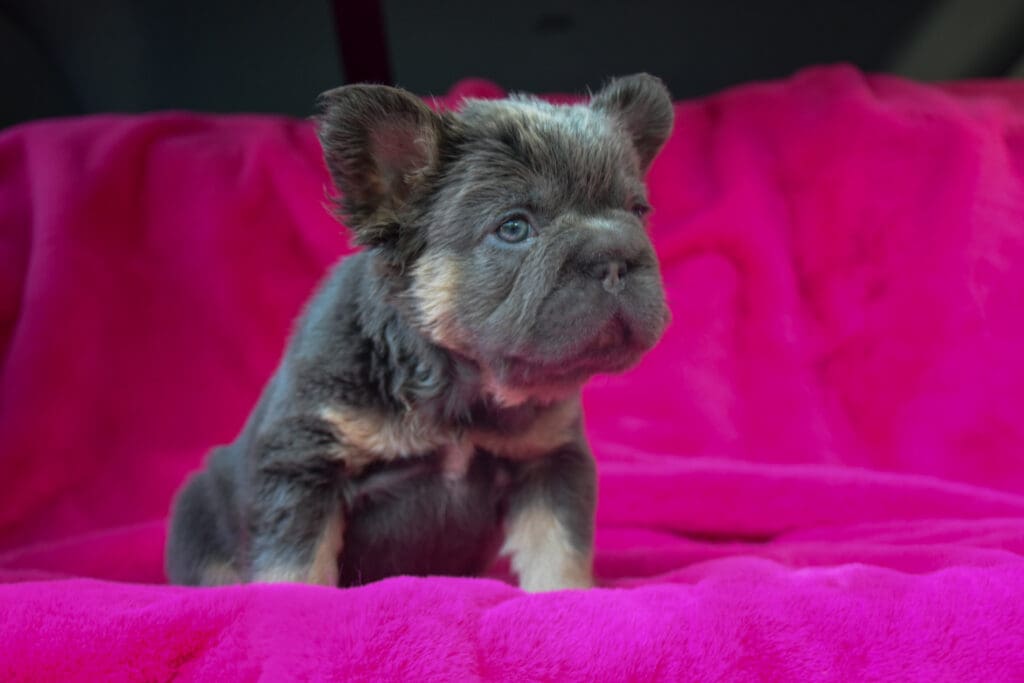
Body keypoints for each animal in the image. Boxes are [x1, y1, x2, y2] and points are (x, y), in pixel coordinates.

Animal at [166, 72, 675, 589]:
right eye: (514, 228)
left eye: (637, 211)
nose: (615, 257)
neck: (462, 385)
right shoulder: (304, 464)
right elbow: (293, 567)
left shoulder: (548, 462)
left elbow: (557, 550)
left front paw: (566, 595)